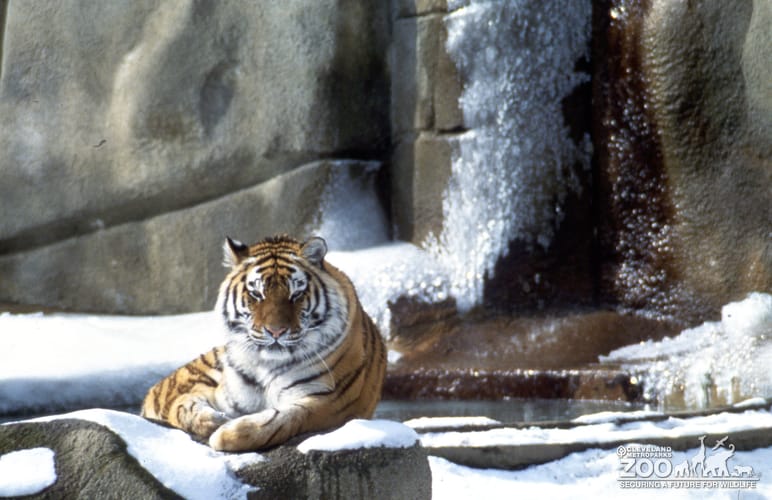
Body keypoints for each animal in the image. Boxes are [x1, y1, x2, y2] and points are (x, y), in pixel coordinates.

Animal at [141, 235, 386, 452]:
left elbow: (281, 420)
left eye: (296, 294)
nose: (276, 331)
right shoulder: (223, 395)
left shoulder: (330, 401)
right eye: (257, 294)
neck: (267, 365)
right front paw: (213, 422)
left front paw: (225, 434)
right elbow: (184, 404)